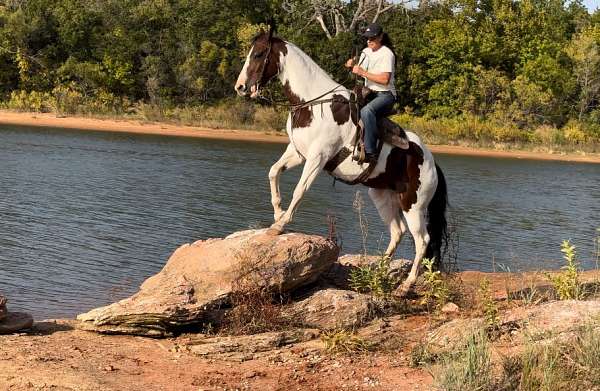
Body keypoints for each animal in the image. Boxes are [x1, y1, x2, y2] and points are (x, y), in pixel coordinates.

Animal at [233, 30, 446, 296]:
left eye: (259, 54)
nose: (240, 87)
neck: (311, 104)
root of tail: (431, 162)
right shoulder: (297, 152)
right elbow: (273, 172)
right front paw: (278, 212)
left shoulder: (317, 158)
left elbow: (299, 190)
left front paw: (280, 225)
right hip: (382, 197)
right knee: (397, 231)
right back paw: (377, 270)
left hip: (413, 205)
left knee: (422, 241)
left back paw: (405, 286)